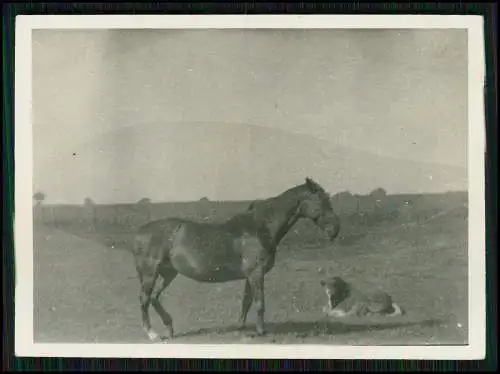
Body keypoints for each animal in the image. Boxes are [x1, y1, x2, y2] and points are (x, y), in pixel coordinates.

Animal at [131, 177, 342, 340]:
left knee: (154, 297)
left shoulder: (250, 276)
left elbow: (246, 301)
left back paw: (169, 328)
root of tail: (139, 232)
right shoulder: (256, 274)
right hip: (150, 274)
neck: (259, 228)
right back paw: (152, 334)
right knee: (144, 299)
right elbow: (259, 303)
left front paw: (240, 326)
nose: (335, 230)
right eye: (321, 201)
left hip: (168, 273)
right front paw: (261, 331)